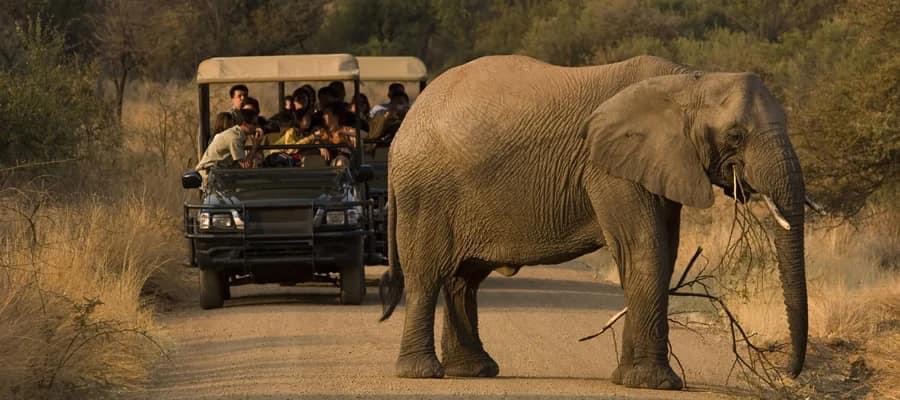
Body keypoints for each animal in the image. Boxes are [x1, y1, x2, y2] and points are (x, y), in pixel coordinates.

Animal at [376, 54, 812, 390]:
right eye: (736, 136)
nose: (789, 373)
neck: (688, 79)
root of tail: (401, 133)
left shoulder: (657, 163)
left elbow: (664, 252)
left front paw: (629, 378)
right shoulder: (608, 169)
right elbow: (644, 249)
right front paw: (655, 383)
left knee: (463, 279)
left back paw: (474, 370)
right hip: (426, 194)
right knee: (427, 275)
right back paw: (423, 373)